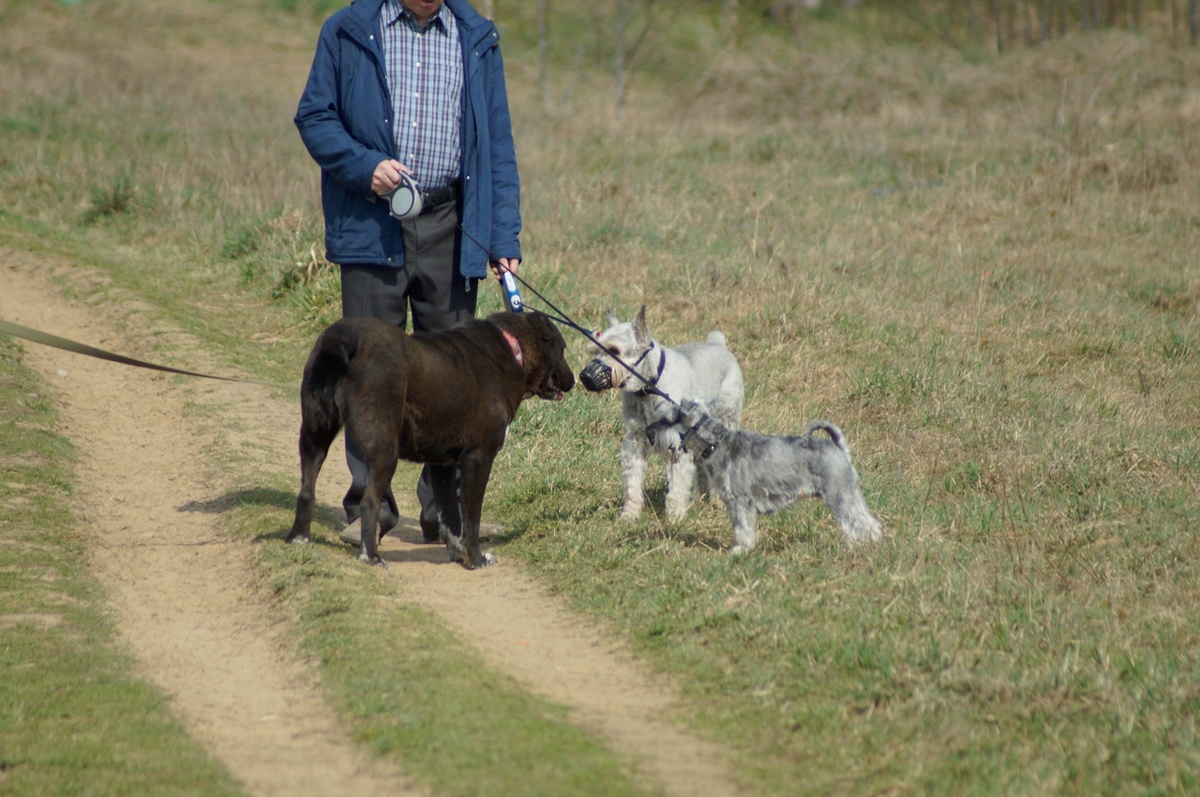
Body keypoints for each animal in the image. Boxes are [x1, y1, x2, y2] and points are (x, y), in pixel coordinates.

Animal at [285, 309, 576, 566]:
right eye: (562, 349)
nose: (574, 381)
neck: (514, 350)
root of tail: (344, 338)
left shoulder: (442, 465)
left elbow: (451, 517)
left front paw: (458, 554)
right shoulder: (478, 459)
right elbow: (471, 519)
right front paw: (476, 559)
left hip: (314, 433)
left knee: (306, 490)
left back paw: (298, 538)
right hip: (384, 449)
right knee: (369, 502)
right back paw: (372, 556)